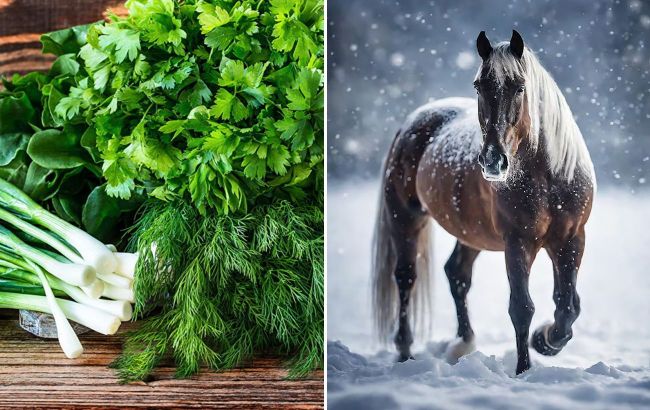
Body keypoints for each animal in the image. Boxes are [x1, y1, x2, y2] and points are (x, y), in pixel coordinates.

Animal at [372, 30, 596, 375]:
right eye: (479, 85)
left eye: (520, 87)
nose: (493, 160)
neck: (549, 177)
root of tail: (412, 122)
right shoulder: (518, 242)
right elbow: (521, 307)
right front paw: (524, 369)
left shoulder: (571, 239)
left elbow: (568, 306)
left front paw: (546, 340)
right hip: (405, 219)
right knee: (406, 276)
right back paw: (405, 351)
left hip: (470, 233)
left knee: (457, 275)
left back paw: (463, 343)